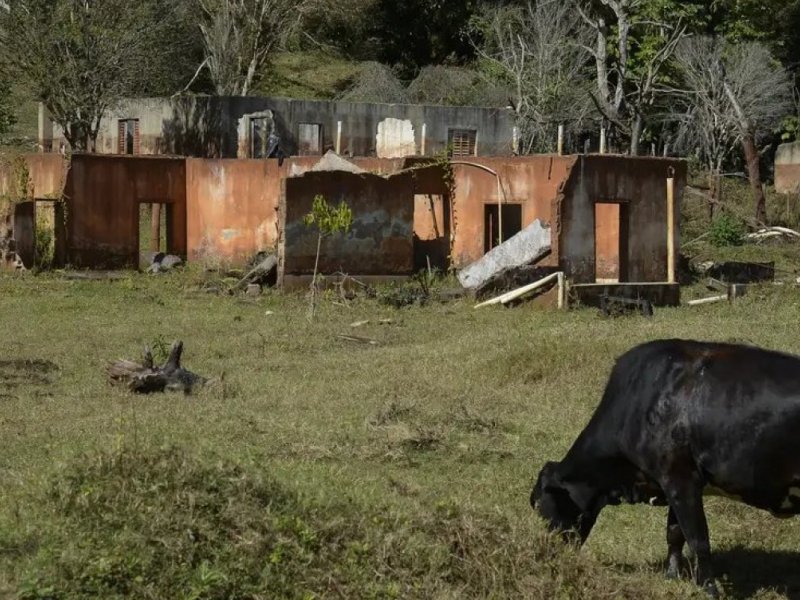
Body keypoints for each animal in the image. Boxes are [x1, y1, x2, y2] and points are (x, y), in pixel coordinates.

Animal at [532, 338, 800, 596]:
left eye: (543, 508)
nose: (549, 554)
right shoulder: (671, 483)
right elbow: (674, 533)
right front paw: (672, 576)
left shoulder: (680, 479)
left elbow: (698, 540)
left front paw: (709, 589)